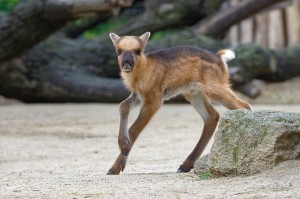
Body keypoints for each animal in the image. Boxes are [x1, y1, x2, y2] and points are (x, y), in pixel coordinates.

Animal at [106, 31, 252, 175]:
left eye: (138, 50)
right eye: (118, 50)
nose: (126, 63)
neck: (143, 70)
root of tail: (221, 58)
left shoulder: (154, 98)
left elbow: (134, 129)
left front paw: (120, 159)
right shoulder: (139, 95)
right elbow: (123, 105)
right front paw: (116, 165)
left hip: (212, 87)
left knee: (244, 106)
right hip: (193, 93)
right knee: (213, 116)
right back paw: (185, 165)